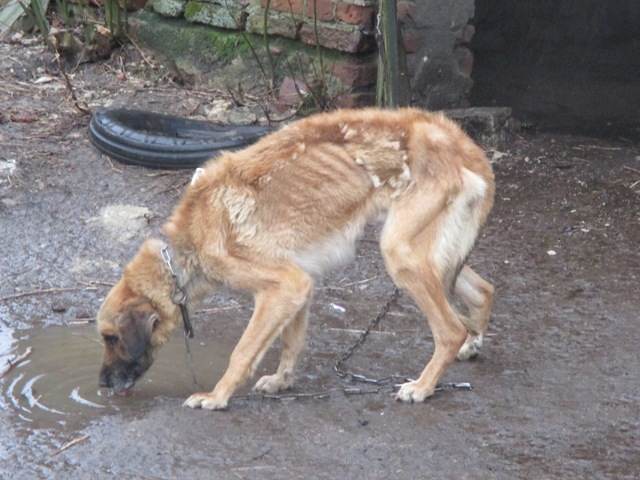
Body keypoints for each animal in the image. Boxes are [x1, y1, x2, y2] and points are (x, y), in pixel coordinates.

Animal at [96, 108, 496, 408]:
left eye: (111, 338)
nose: (101, 385)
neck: (185, 249)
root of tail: (461, 142)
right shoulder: (299, 285)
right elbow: (291, 342)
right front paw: (281, 381)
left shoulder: (283, 286)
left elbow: (243, 351)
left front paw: (217, 396)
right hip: (429, 255)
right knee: (483, 290)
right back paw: (472, 344)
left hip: (401, 254)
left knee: (450, 329)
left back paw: (423, 386)